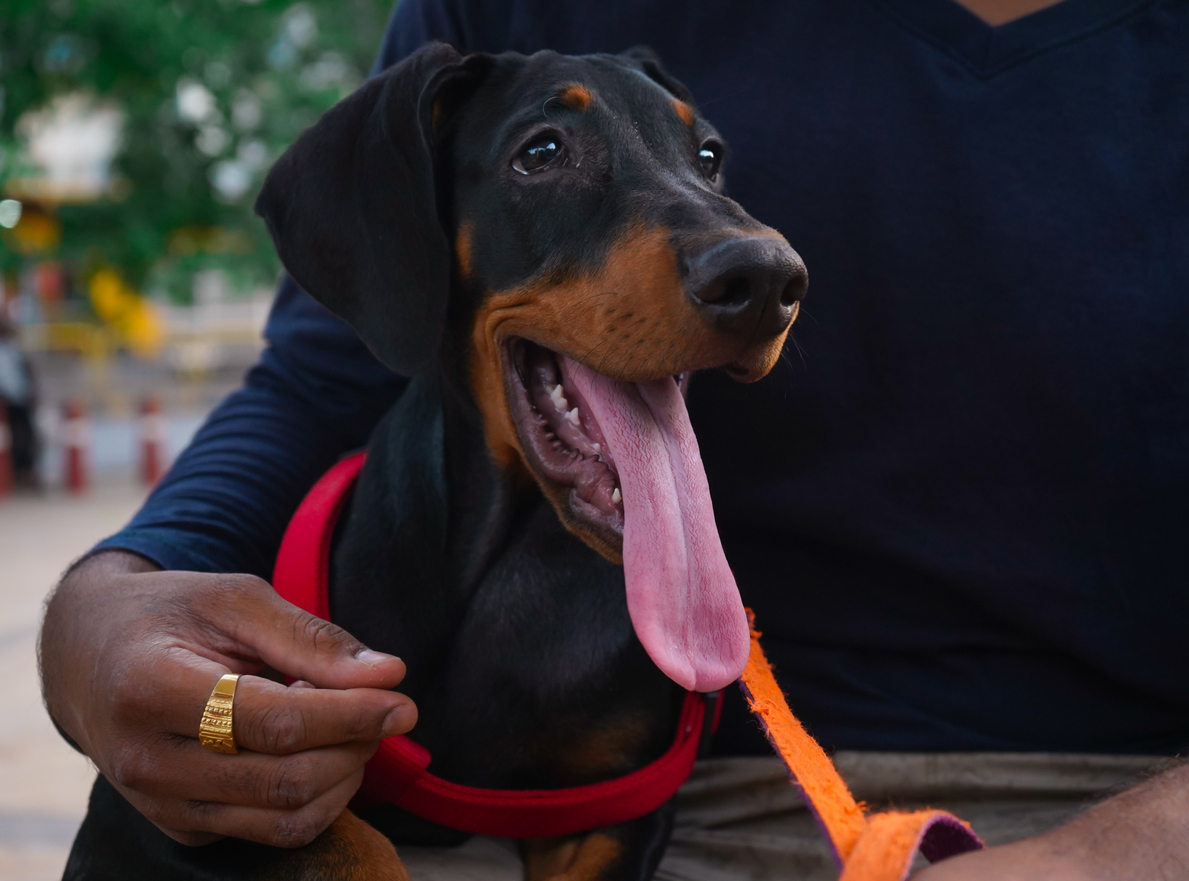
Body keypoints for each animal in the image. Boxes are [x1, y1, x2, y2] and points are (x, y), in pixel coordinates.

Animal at [67, 41, 808, 879]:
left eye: (708, 157)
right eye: (540, 152)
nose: (766, 279)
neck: (498, 561)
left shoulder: (618, 806)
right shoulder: (173, 799)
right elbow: (348, 838)